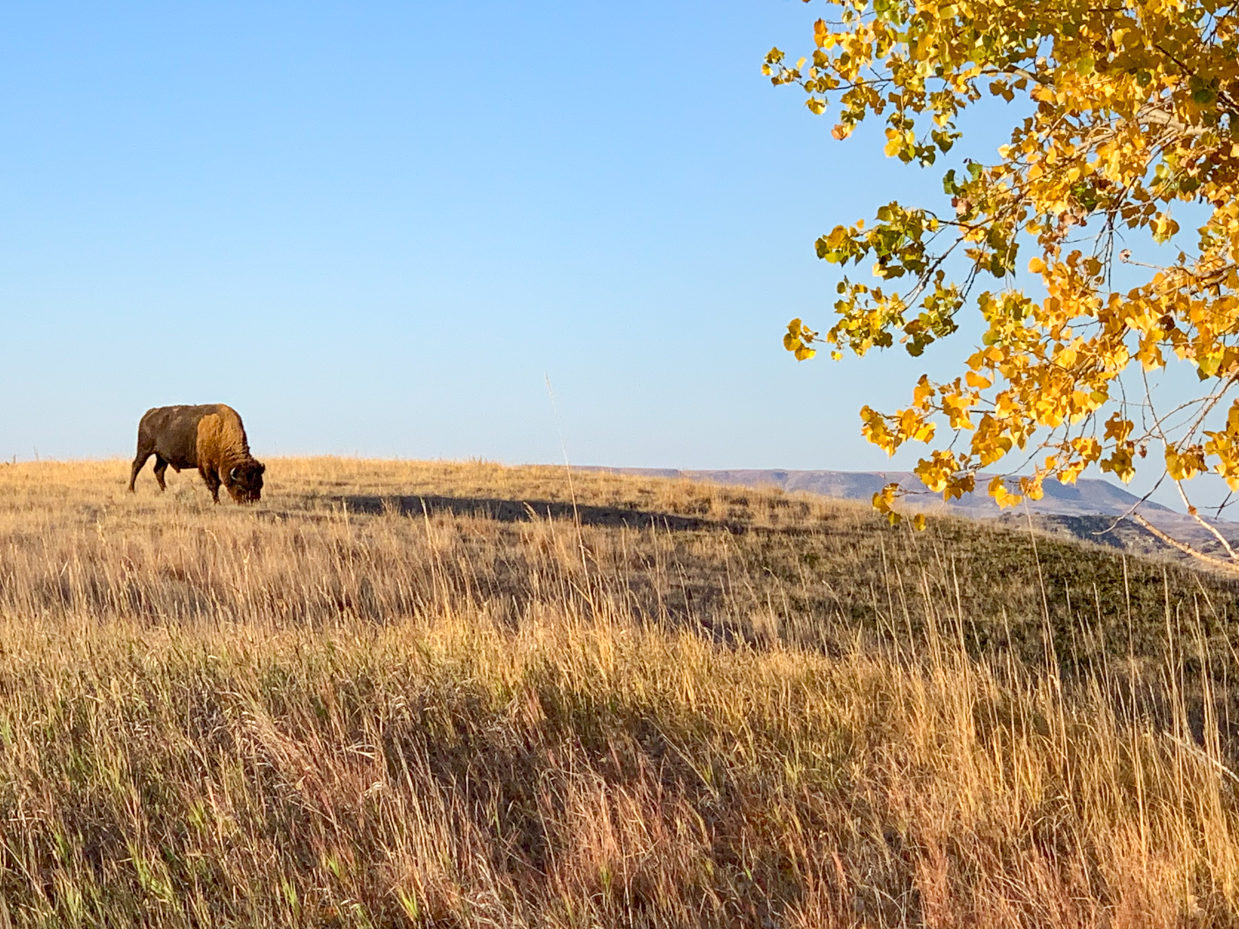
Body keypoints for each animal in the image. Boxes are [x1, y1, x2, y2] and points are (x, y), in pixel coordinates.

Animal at [128, 406, 266, 505]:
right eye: (241, 487)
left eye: (260, 484)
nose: (252, 501)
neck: (222, 431)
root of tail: (149, 413)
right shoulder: (206, 466)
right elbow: (213, 484)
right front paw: (217, 502)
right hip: (144, 450)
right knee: (136, 466)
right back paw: (131, 490)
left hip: (161, 457)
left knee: (158, 471)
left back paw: (165, 491)